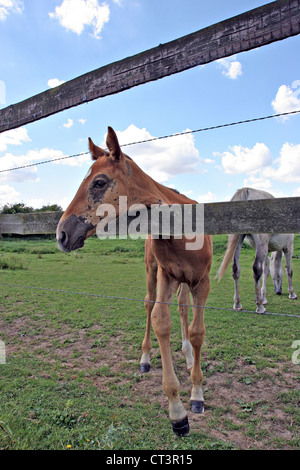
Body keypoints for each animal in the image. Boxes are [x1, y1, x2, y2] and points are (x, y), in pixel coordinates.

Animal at [55, 126, 211, 436]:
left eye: (99, 182)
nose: (62, 234)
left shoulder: (203, 282)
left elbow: (197, 332)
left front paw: (197, 395)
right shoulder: (166, 275)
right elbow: (160, 320)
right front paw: (177, 412)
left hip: (187, 283)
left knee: (184, 311)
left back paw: (189, 357)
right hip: (154, 272)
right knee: (152, 305)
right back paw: (146, 359)